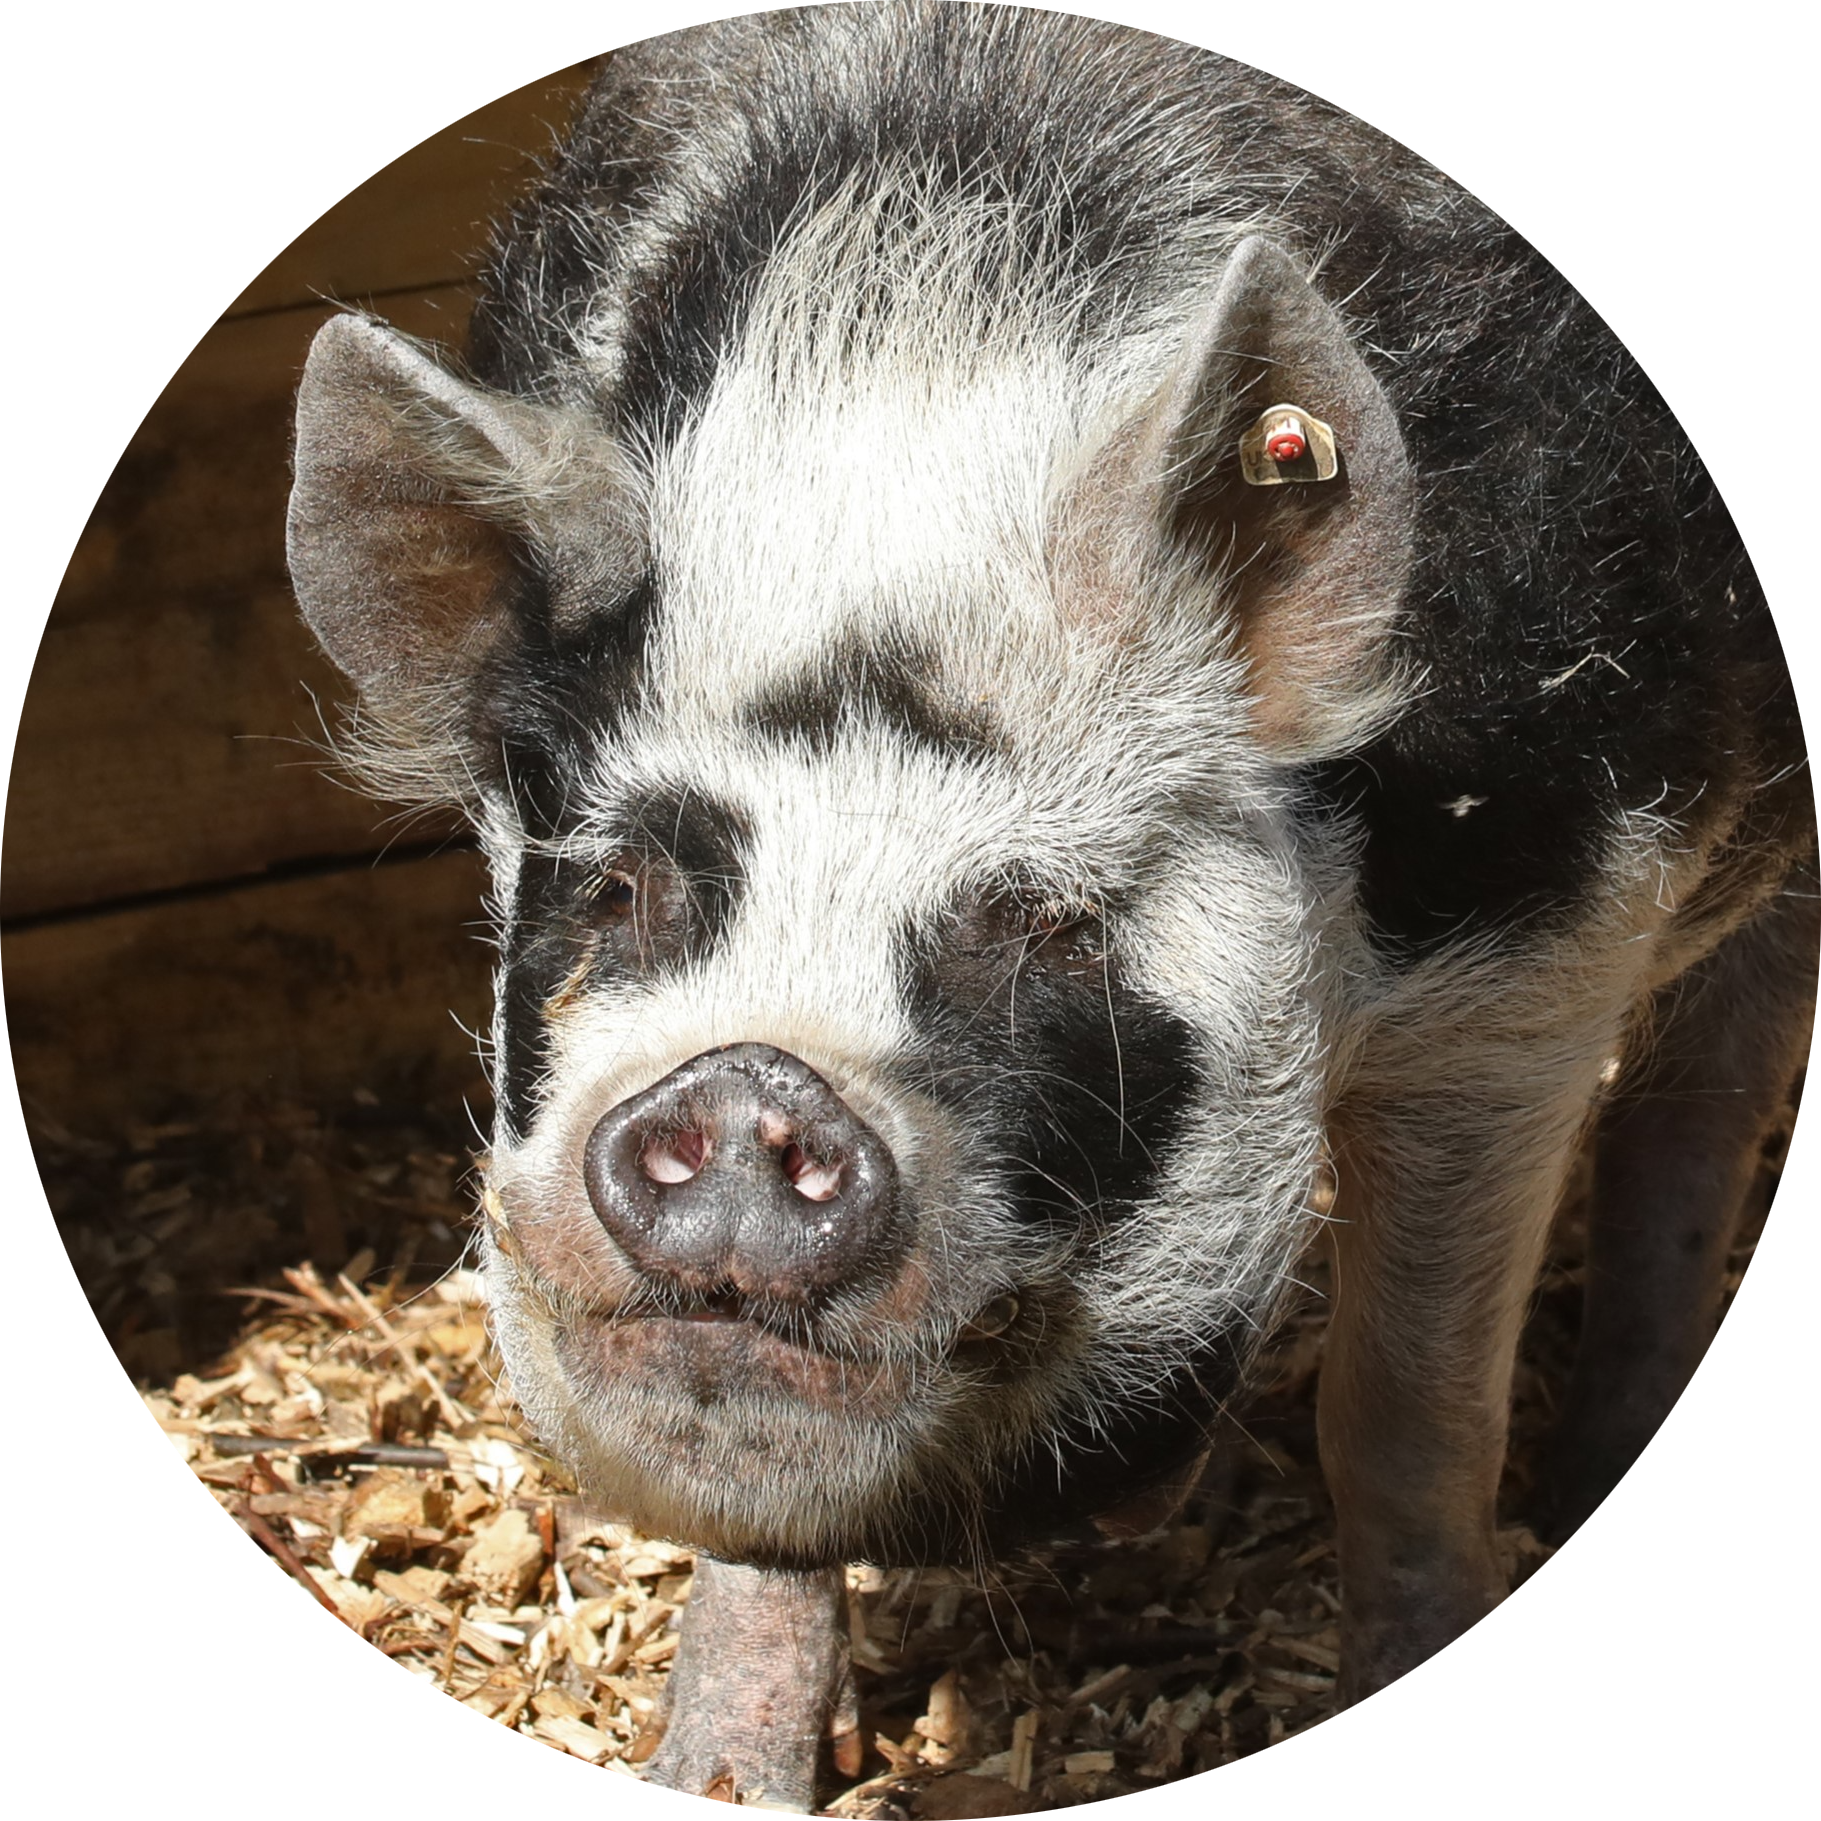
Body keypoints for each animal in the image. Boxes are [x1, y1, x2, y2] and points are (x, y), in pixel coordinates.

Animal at [286, 7, 1814, 1806]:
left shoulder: (1541, 960)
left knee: (1705, 1105)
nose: (747, 1086)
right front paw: (724, 1773)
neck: (899, 423)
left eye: (1054, 922)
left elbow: (1404, 1413)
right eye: (620, 883)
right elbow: (760, 1546)